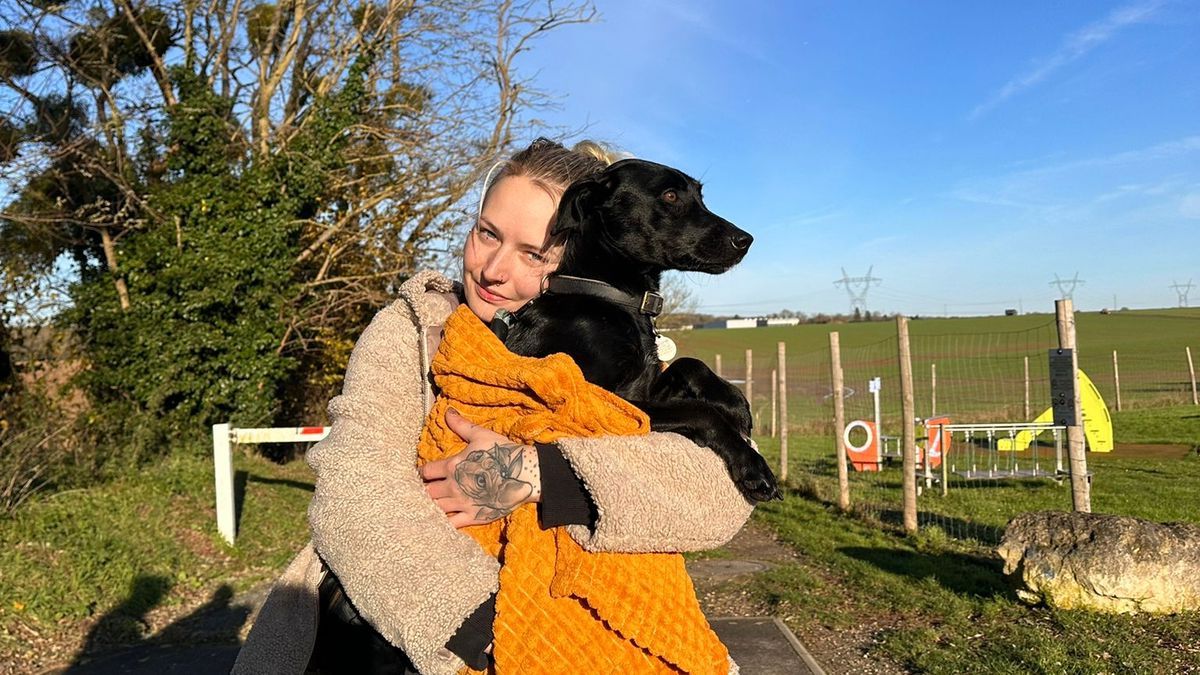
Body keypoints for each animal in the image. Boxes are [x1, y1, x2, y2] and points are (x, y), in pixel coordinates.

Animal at [501, 156, 782, 499]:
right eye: (670, 196)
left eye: (700, 196)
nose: (746, 240)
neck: (612, 300)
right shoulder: (599, 404)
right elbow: (698, 410)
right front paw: (752, 464)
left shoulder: (644, 387)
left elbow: (688, 364)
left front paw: (734, 401)